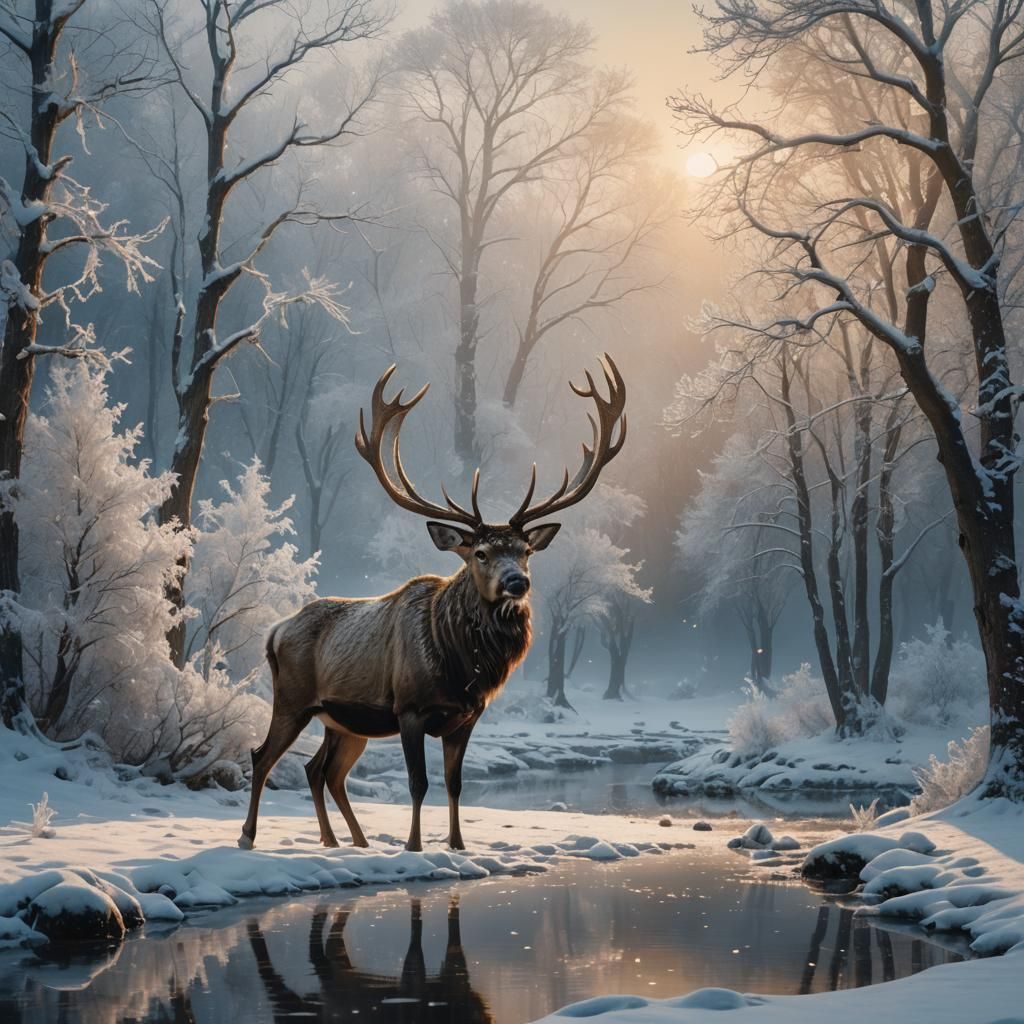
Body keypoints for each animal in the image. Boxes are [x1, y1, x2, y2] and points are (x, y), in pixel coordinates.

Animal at [237, 355, 626, 853]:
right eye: (481, 553)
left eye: (525, 550)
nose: (517, 582)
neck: (462, 666)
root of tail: (275, 631)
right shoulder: (409, 708)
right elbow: (418, 783)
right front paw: (414, 846)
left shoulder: (467, 717)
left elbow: (455, 783)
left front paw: (458, 845)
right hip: (293, 698)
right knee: (262, 755)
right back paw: (250, 837)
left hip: (342, 721)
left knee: (321, 769)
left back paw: (346, 842)